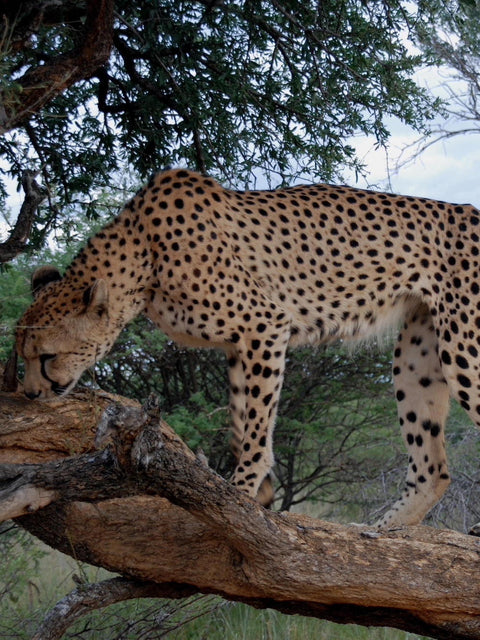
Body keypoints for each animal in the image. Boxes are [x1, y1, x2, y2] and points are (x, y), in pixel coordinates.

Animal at [15, 168, 480, 528]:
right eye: (23, 356)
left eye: (47, 356)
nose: (31, 394)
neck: (143, 250)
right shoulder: (239, 344)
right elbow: (242, 415)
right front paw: (257, 493)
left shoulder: (265, 324)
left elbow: (257, 423)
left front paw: (240, 488)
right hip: (418, 353)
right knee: (433, 469)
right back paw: (380, 532)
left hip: (463, 350)